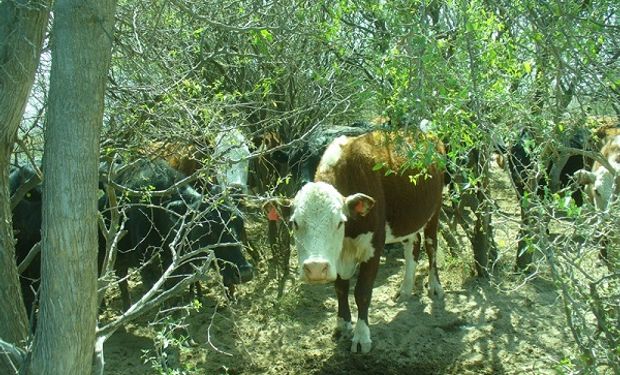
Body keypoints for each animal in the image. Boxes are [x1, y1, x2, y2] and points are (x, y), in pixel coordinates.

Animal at [272, 131, 446, 354]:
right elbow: (340, 288)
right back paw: (405, 289)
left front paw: (361, 337)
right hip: (407, 219)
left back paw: (434, 286)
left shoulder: (374, 247)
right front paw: (342, 325)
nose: (316, 268)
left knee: (431, 244)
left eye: (339, 222)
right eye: (294, 223)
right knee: (412, 245)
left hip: (435, 207)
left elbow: (362, 292)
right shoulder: (336, 256)